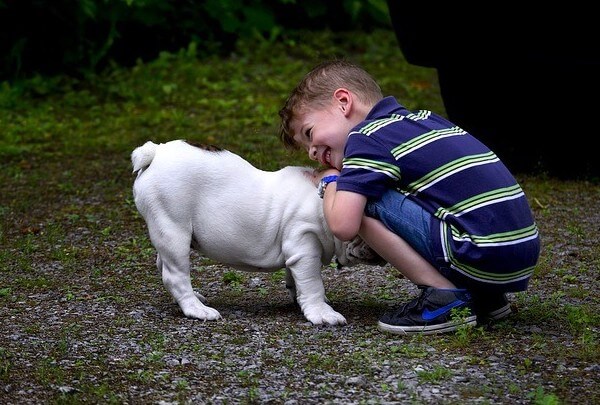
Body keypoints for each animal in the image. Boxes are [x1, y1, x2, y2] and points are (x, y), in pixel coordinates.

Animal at [132, 139, 384, 326]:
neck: (326, 202)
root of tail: (155, 152)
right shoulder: (305, 247)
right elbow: (313, 283)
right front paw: (322, 312)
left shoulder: (297, 252)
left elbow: (296, 279)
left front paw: (299, 299)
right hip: (173, 227)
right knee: (175, 274)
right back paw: (197, 309)